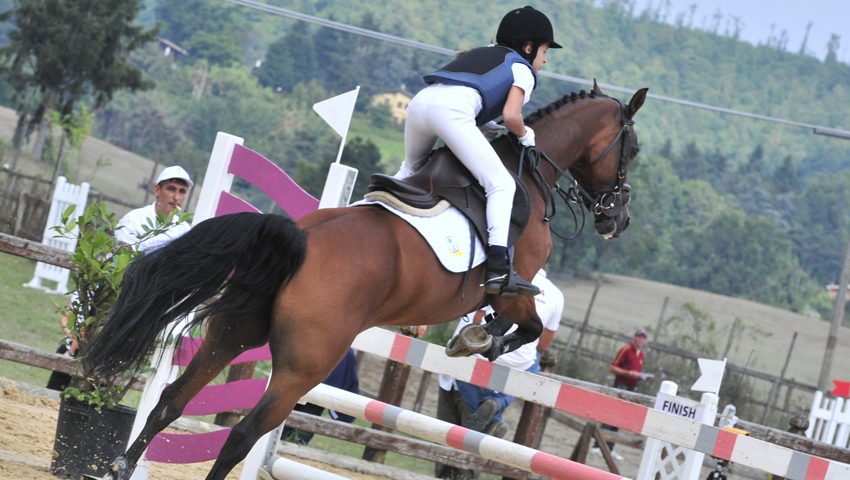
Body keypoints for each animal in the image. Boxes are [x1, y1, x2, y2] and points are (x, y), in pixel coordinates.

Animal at [89, 83, 644, 480]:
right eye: (633, 148)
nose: (617, 220)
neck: (528, 173)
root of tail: (300, 238)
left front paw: (473, 340)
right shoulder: (514, 286)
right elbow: (522, 325)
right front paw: (478, 341)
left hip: (233, 332)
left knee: (172, 400)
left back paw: (120, 466)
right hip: (305, 364)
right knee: (243, 434)